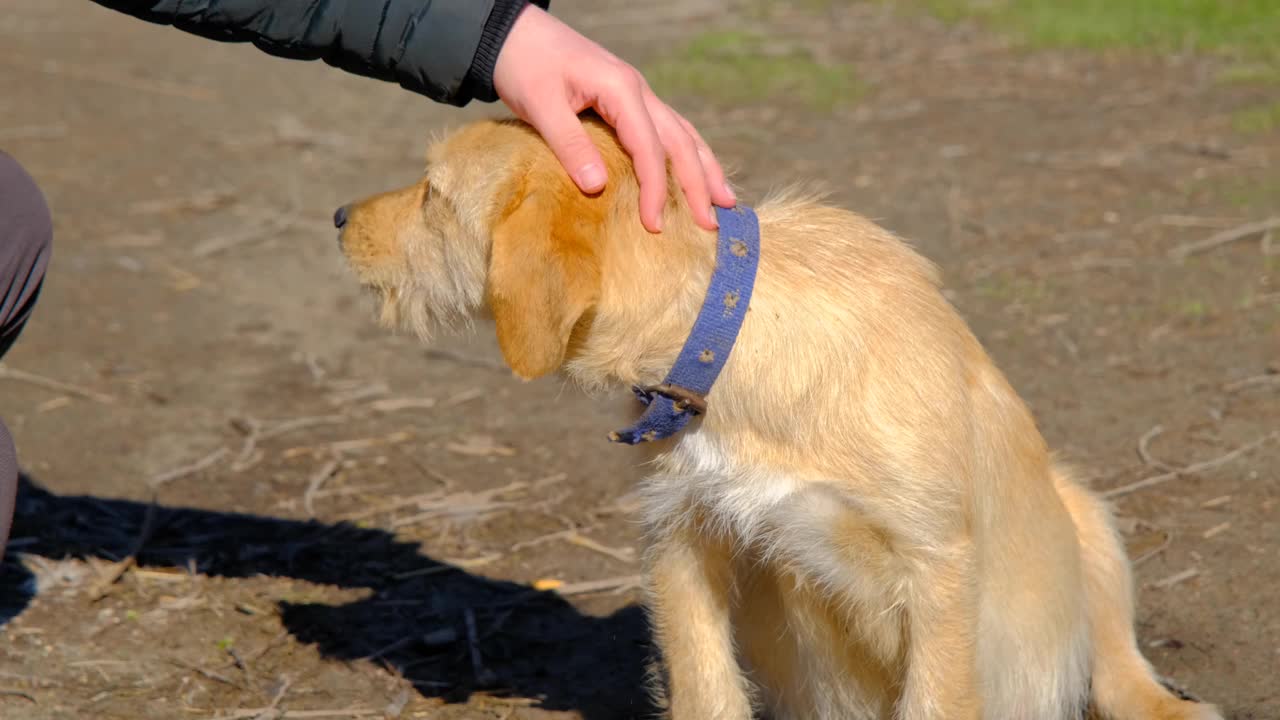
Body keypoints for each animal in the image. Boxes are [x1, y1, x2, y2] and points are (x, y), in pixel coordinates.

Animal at [330, 113, 1218, 717]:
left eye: (434, 195)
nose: (337, 218)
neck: (731, 344)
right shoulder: (682, 541)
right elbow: (703, 687)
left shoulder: (937, 569)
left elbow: (937, 697)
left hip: (1085, 516)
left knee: (1115, 663)